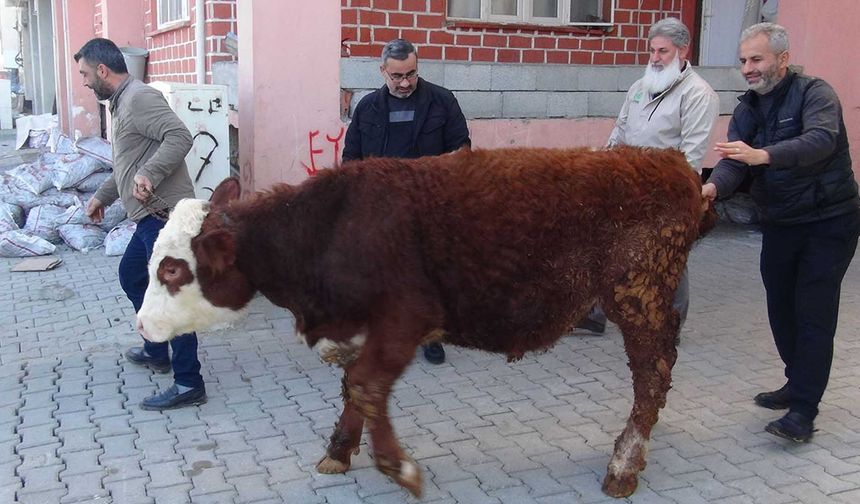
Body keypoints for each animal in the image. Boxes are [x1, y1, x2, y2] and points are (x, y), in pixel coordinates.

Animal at [141, 147, 716, 500]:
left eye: (172, 269)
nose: (143, 326)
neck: (330, 227)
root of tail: (669, 162)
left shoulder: (408, 318)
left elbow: (367, 386)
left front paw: (399, 467)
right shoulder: (361, 330)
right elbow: (354, 386)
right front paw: (339, 451)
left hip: (638, 296)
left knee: (652, 373)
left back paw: (624, 463)